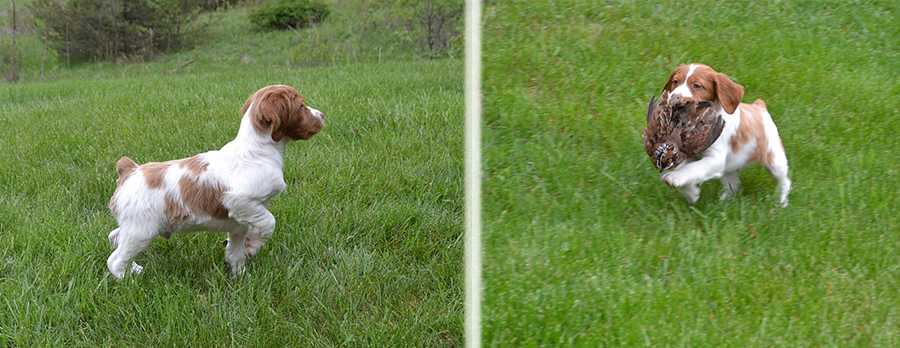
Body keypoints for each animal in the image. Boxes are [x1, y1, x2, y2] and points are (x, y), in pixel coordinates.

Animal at [106, 85, 324, 280]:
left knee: (114, 237)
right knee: (115, 260)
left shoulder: (239, 223)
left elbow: (236, 252)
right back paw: (127, 279)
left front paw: (241, 276)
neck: (257, 150)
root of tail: (130, 171)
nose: (322, 114)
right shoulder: (240, 201)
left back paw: (135, 269)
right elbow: (269, 222)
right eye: (302, 106)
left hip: (135, 226)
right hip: (142, 231)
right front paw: (253, 247)